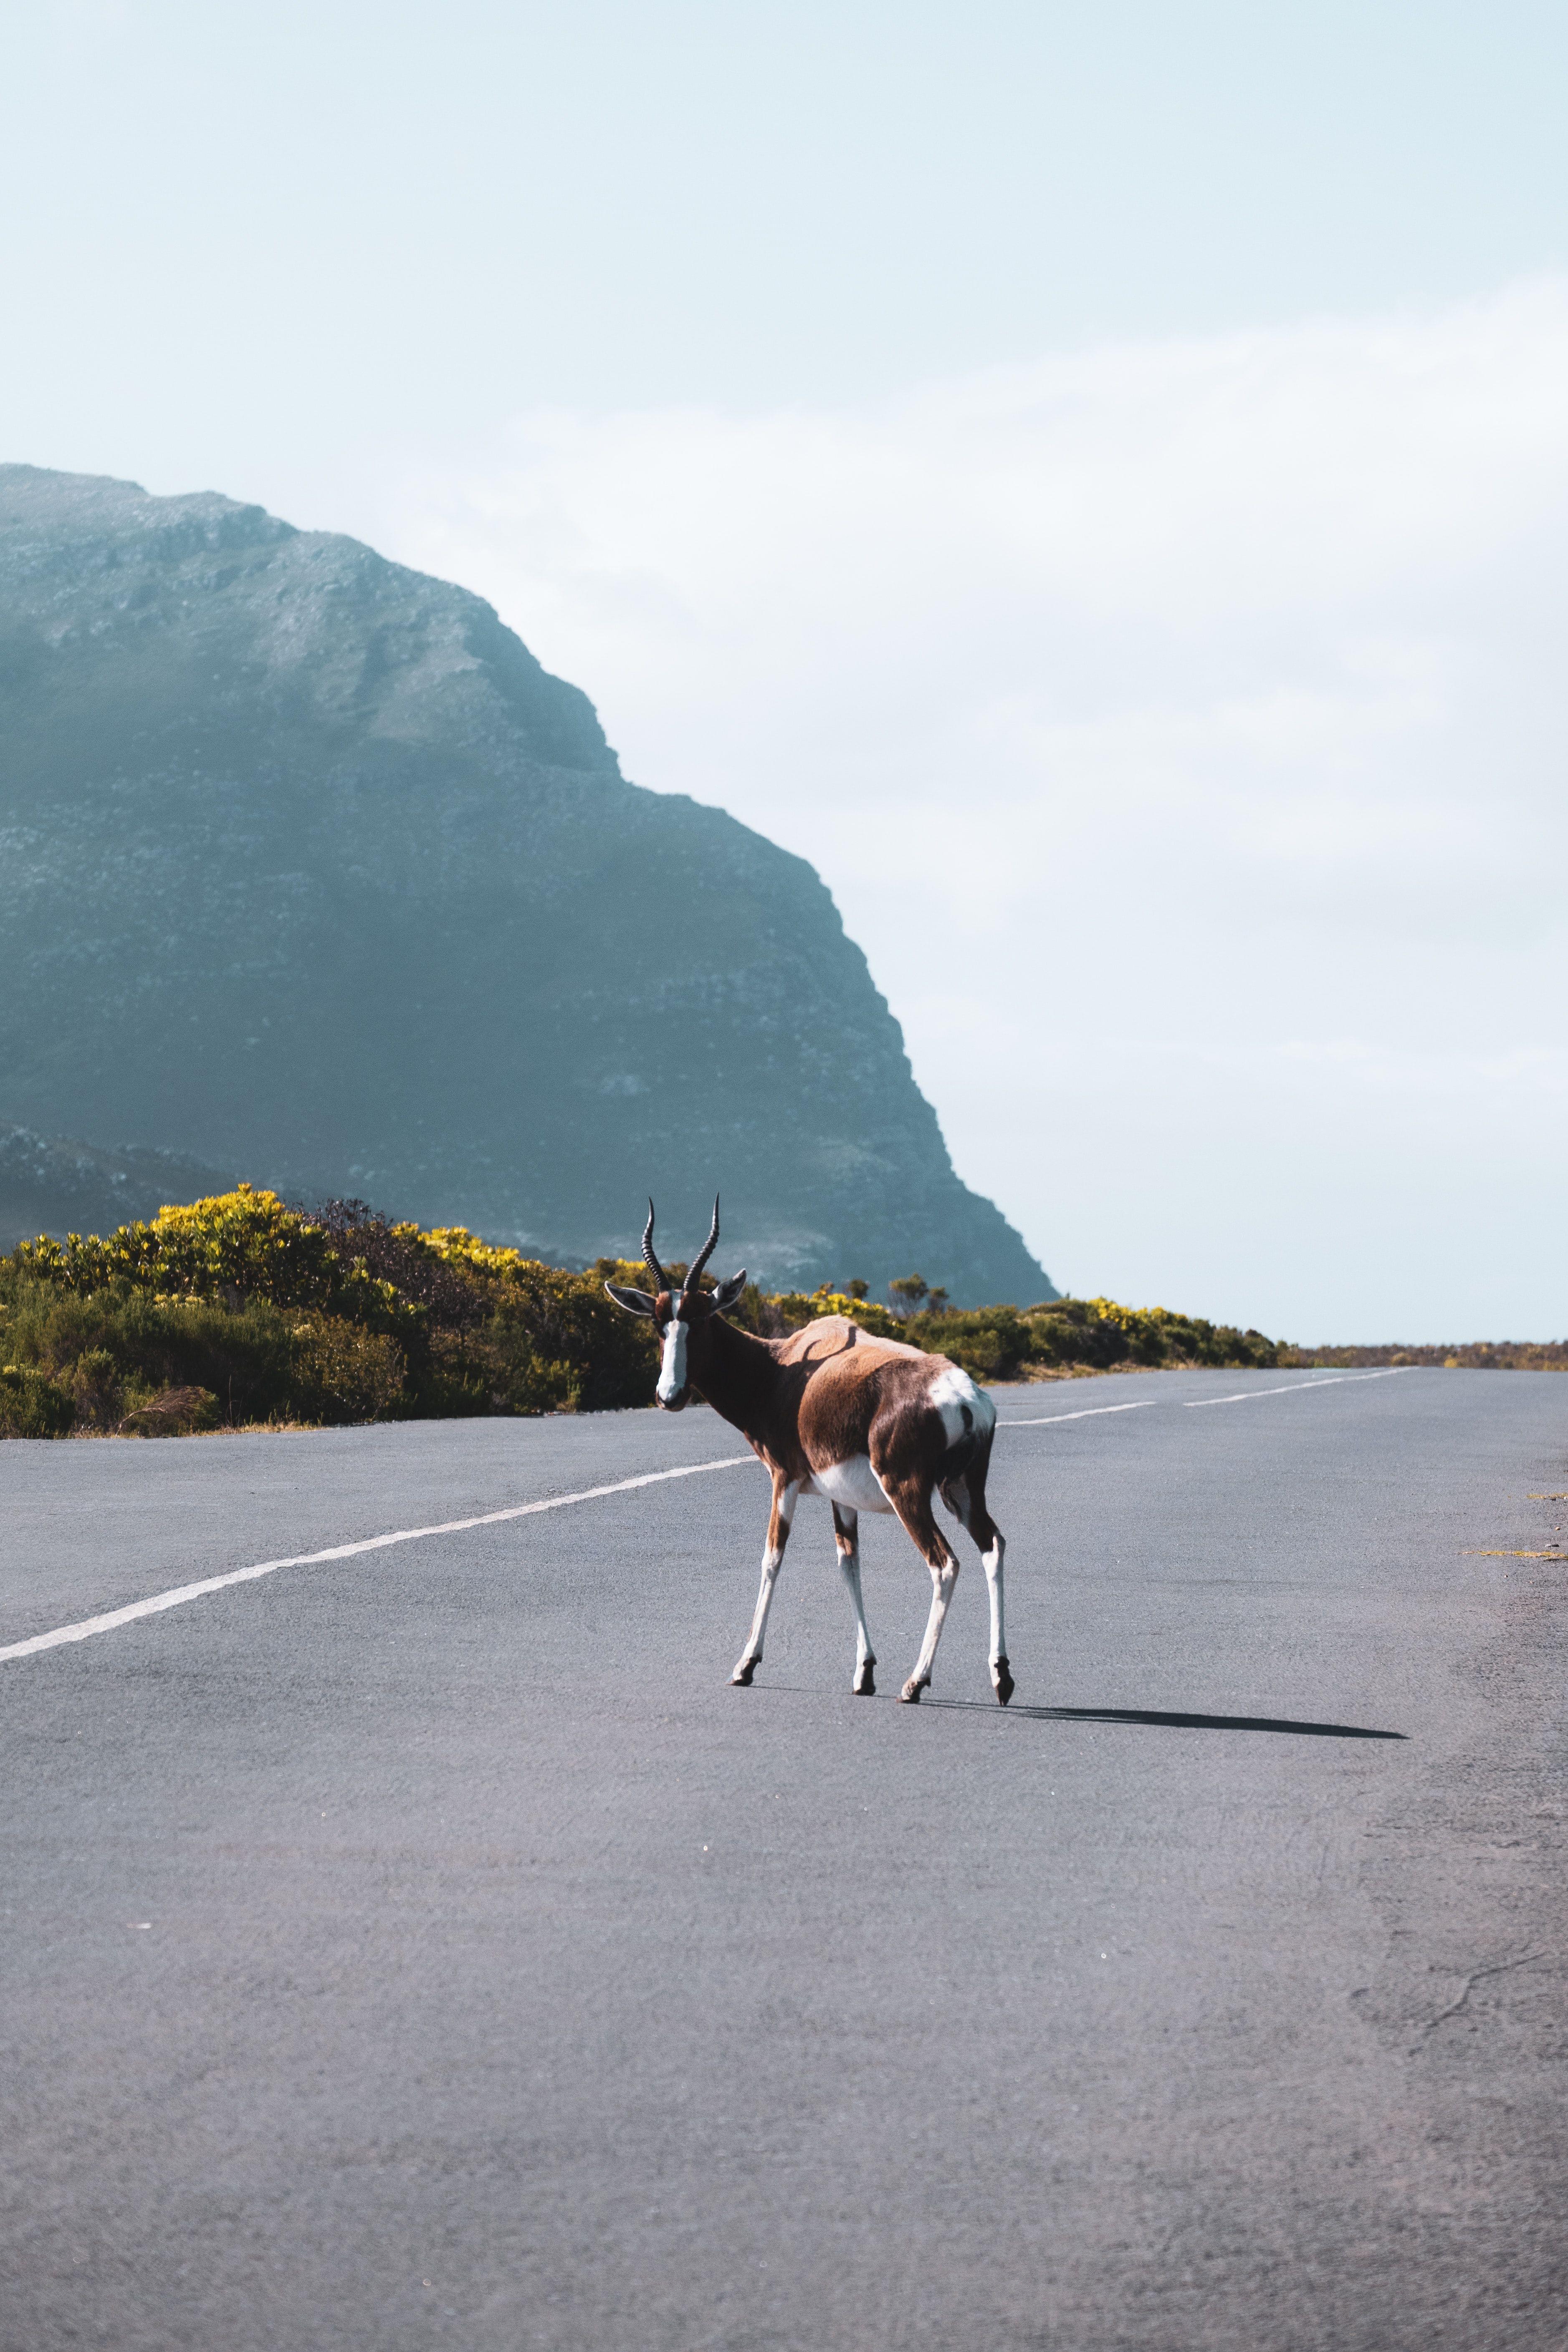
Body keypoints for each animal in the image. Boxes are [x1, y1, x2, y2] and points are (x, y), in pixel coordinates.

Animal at [606, 1204, 1011, 1703]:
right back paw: (1002, 1677)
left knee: (945, 1564)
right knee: (992, 1544)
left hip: (908, 1493)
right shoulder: (841, 1497)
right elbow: (848, 1564)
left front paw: (746, 1665)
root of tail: (964, 1397)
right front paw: (864, 1672)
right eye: (658, 1323)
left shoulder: (784, 1480)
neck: (782, 1370)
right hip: (963, 1490)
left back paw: (916, 1682)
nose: (670, 1396)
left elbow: (772, 1559)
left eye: (700, 1320)